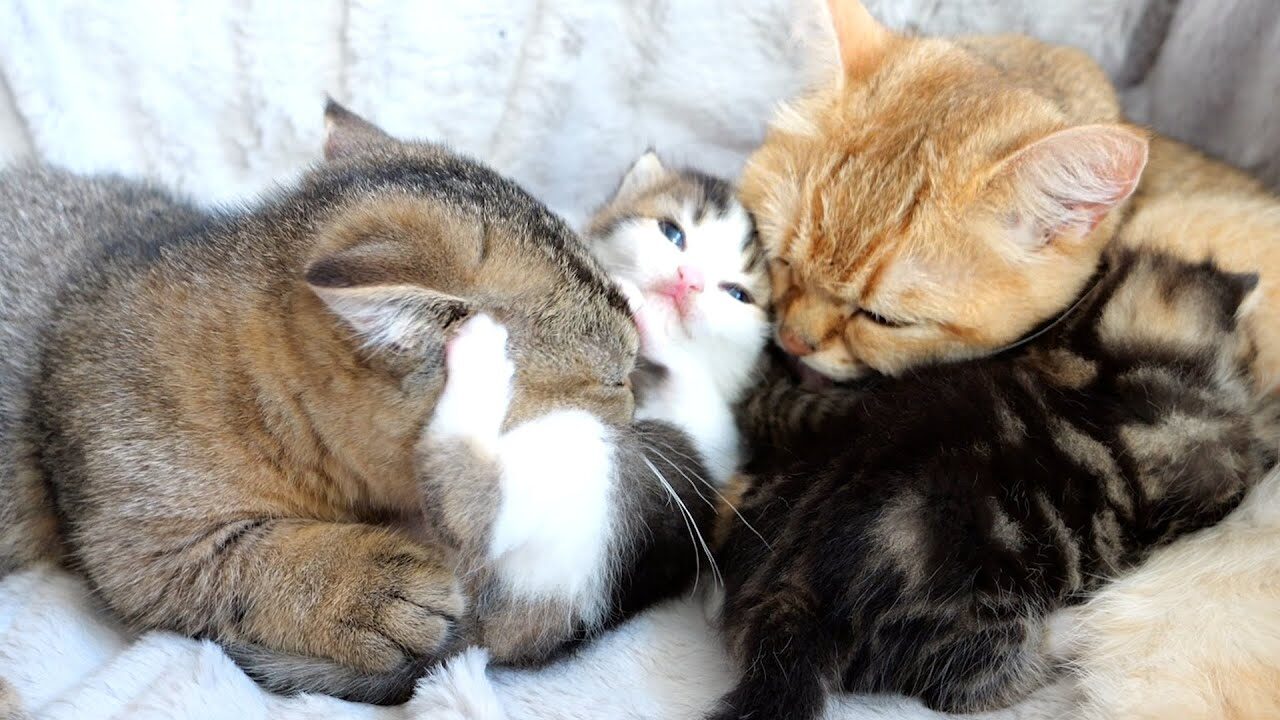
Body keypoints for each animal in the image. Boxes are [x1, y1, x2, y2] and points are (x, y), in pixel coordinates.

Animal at [712, 249, 1277, 719]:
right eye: (1250, 354)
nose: (1253, 366)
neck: (1101, 368)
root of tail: (787, 593)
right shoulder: (1210, 473)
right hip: (965, 614)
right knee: (971, 687)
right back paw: (1075, 631)